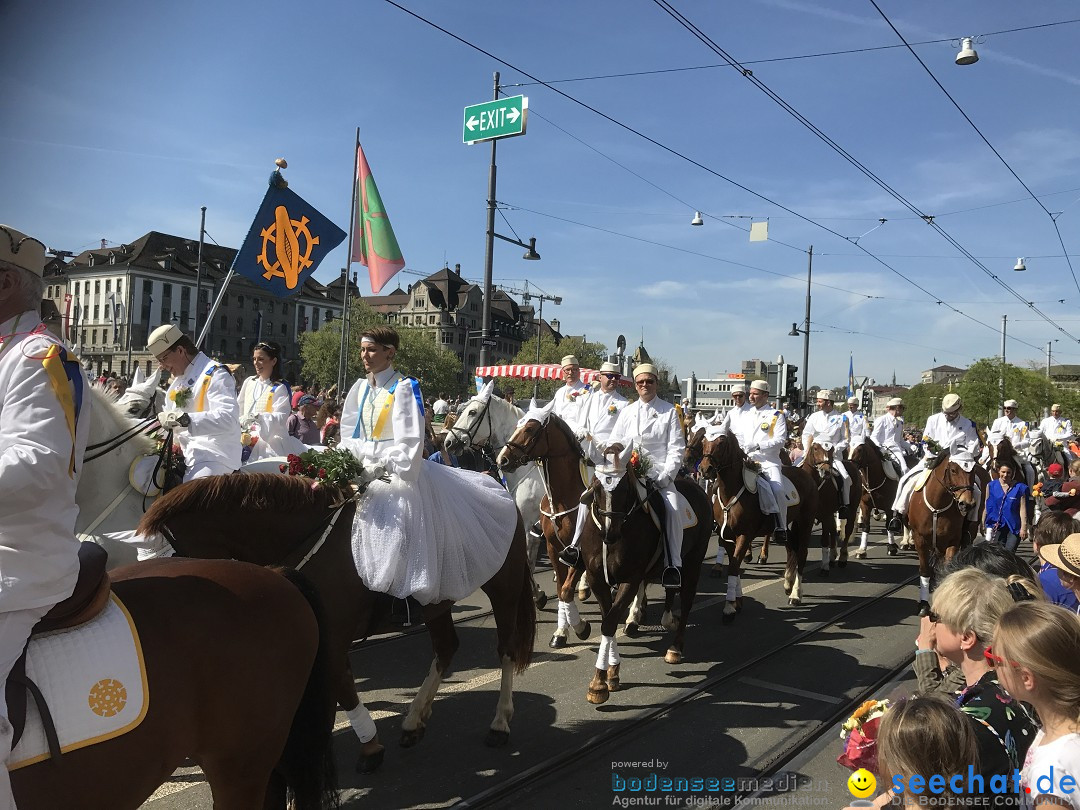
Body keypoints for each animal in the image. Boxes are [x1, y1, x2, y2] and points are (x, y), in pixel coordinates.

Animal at [139, 475, 535, 756]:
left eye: (173, 555)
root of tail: (498, 487)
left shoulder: (333, 638)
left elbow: (339, 688)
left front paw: (368, 748)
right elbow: (340, 687)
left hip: (504, 590)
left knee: (506, 649)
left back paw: (499, 723)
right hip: (438, 602)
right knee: (446, 648)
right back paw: (413, 721)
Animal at [699, 432, 816, 609]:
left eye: (721, 442)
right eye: (703, 441)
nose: (705, 469)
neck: (731, 493)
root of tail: (805, 474)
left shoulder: (744, 535)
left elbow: (734, 566)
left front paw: (730, 606)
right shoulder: (726, 536)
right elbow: (734, 564)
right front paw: (737, 601)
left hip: (805, 522)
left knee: (802, 552)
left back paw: (795, 595)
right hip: (785, 525)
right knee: (791, 549)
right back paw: (788, 583)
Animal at [907, 453, 984, 617]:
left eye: (973, 470)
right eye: (953, 470)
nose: (967, 504)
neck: (938, 506)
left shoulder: (952, 541)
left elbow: (948, 569)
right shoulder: (920, 540)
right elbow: (925, 570)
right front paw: (924, 605)